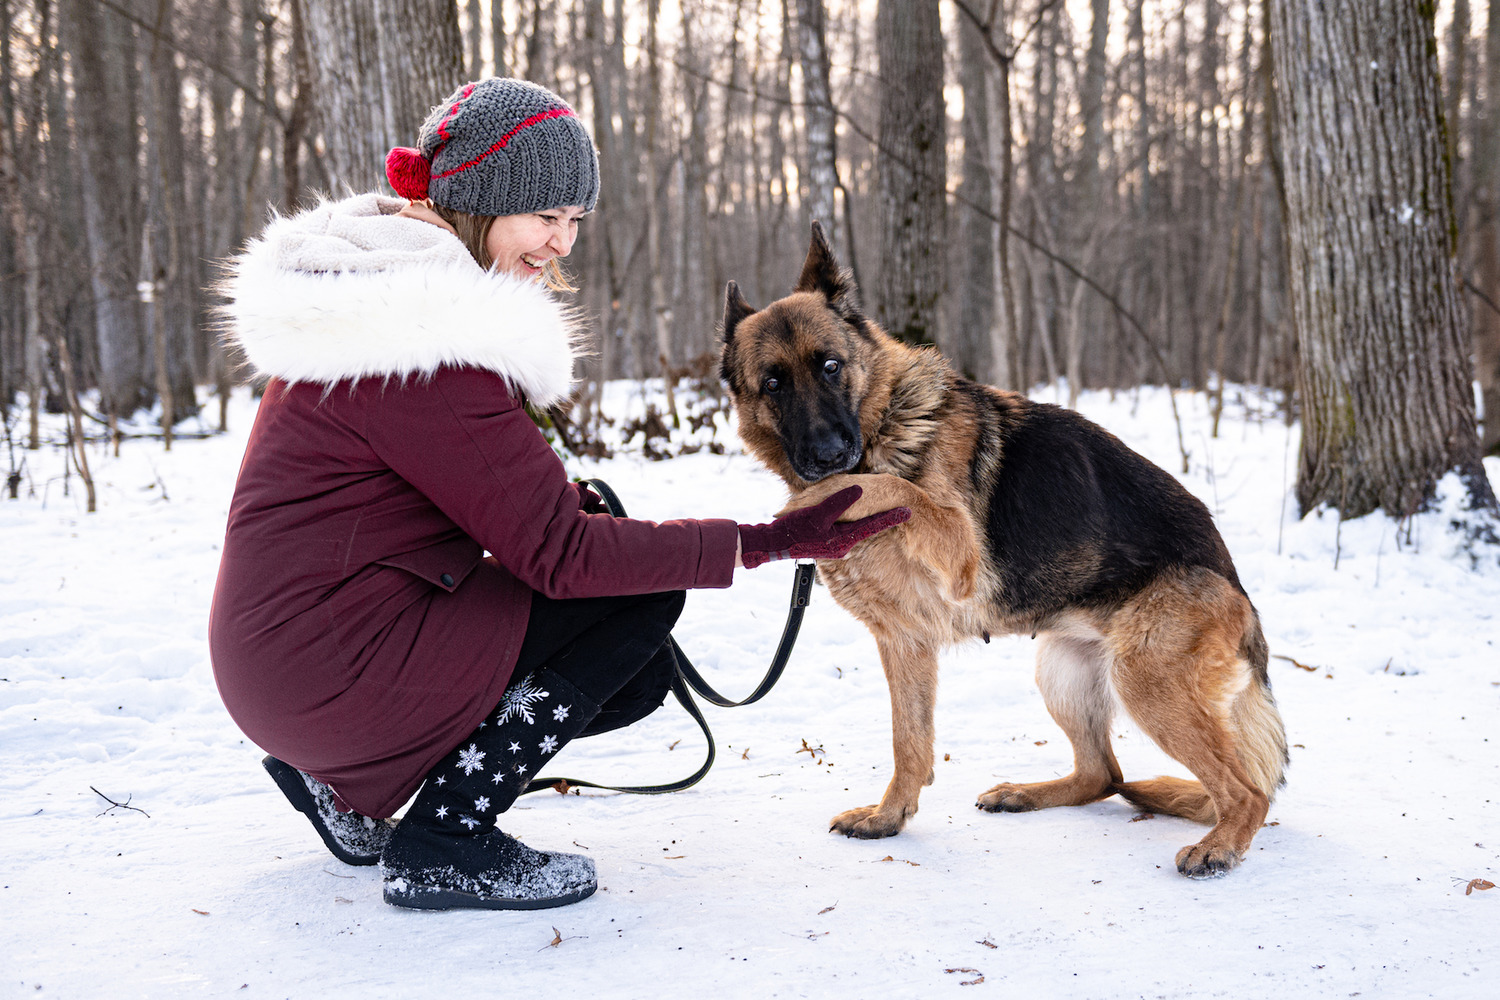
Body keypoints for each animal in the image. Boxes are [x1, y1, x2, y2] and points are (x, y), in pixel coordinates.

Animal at [720, 220, 1284, 875]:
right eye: (774, 384)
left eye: (831, 366)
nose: (829, 452)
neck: (886, 426)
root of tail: (1238, 588)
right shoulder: (904, 642)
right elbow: (909, 742)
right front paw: (889, 818)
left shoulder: (955, 550)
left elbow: (885, 486)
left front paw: (817, 498)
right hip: (1061, 671)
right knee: (1104, 774)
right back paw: (1026, 793)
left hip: (1144, 679)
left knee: (1247, 791)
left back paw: (1220, 846)